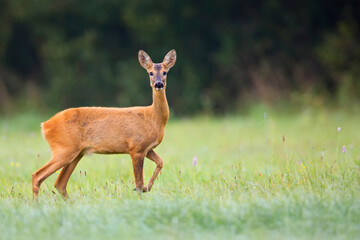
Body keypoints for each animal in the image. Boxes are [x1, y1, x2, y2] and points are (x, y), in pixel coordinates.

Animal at [33, 49, 176, 200]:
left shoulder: (146, 148)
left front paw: (147, 188)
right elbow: (138, 182)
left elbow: (160, 162)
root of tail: (45, 125)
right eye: (150, 73)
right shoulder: (136, 147)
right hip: (64, 149)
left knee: (59, 184)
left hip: (75, 153)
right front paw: (141, 196)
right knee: (37, 175)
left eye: (165, 72)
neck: (153, 118)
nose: (159, 84)